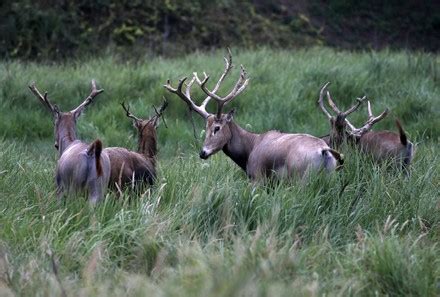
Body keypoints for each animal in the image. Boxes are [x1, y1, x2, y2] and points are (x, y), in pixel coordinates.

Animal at [165, 48, 344, 180]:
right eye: (205, 127)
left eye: (217, 128)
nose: (203, 153)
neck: (249, 150)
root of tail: (324, 151)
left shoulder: (257, 177)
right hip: (328, 178)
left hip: (301, 177)